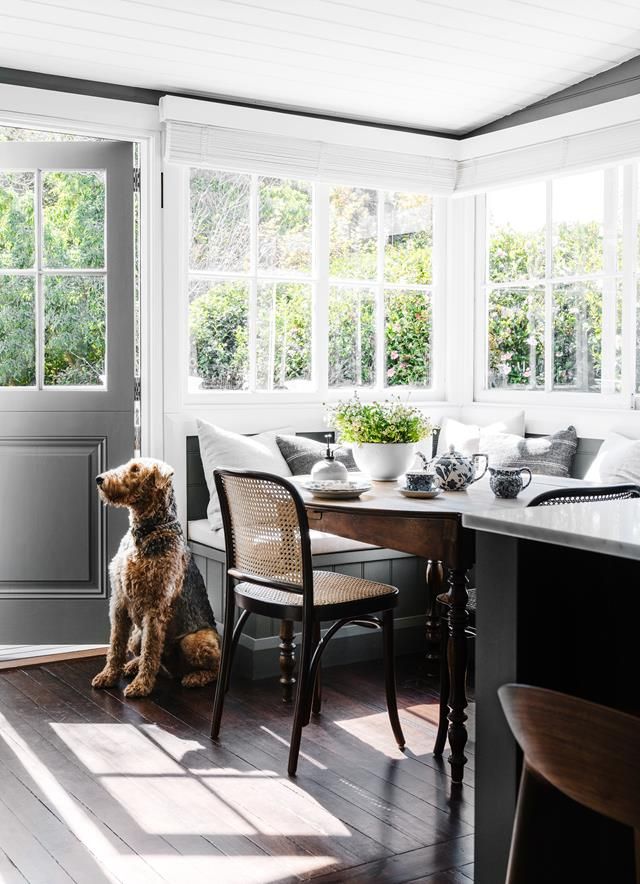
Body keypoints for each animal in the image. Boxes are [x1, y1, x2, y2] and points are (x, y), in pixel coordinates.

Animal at [90, 456, 220, 696]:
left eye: (135, 469)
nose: (99, 479)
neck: (147, 532)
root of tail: (174, 670)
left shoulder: (155, 608)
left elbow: (150, 650)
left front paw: (140, 687)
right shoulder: (119, 601)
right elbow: (116, 645)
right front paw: (108, 675)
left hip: (193, 640)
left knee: (213, 666)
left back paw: (194, 677)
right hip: (136, 637)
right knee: (152, 658)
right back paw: (132, 665)